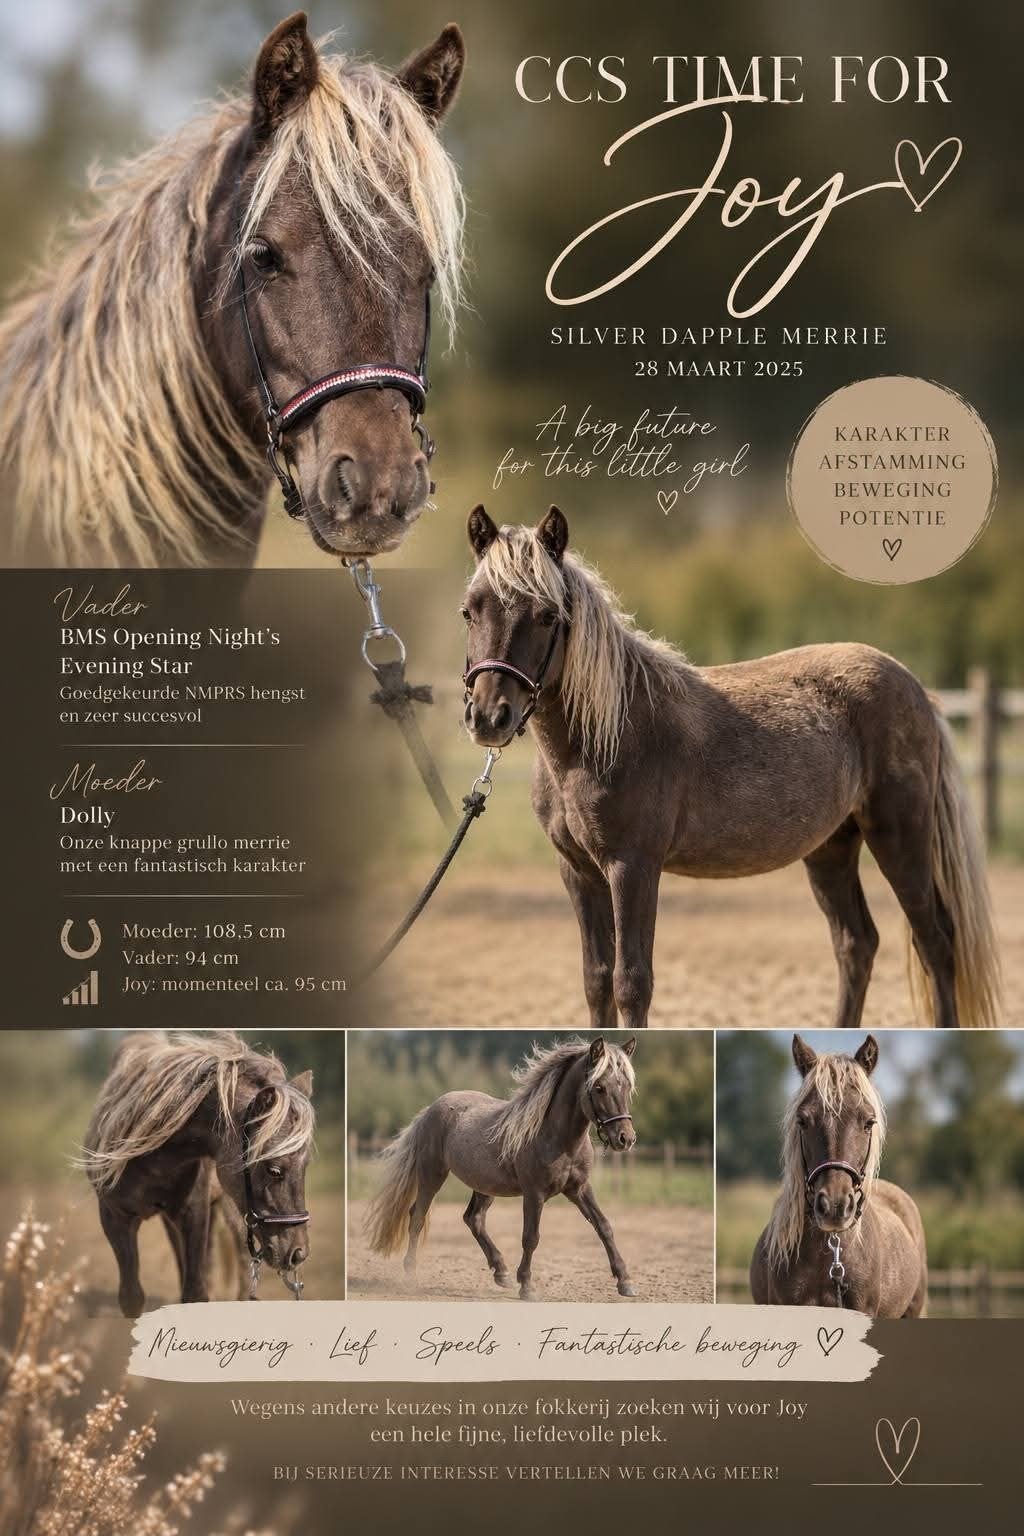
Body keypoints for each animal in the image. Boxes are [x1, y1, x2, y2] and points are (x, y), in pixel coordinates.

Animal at [81, 1031, 314, 1316]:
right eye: (274, 1169)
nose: (298, 1253)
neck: (152, 1155)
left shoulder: (193, 1212)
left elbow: (195, 1292)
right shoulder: (115, 1218)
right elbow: (132, 1297)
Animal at [364, 1035, 638, 1299]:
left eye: (626, 1086)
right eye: (599, 1087)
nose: (625, 1138)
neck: (557, 1138)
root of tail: (430, 1109)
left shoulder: (579, 1189)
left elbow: (604, 1227)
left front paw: (625, 1282)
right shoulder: (534, 1194)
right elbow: (531, 1237)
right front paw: (527, 1286)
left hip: (484, 1186)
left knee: (473, 1219)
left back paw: (501, 1272)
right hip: (432, 1175)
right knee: (417, 1217)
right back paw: (411, 1275)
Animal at [461, 505, 1001, 1030]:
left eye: (548, 615)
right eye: (469, 610)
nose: (489, 716)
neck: (607, 731)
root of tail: (915, 687)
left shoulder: (632, 867)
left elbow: (631, 982)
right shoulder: (577, 871)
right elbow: (597, 981)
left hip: (899, 839)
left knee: (936, 943)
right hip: (831, 848)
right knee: (856, 944)